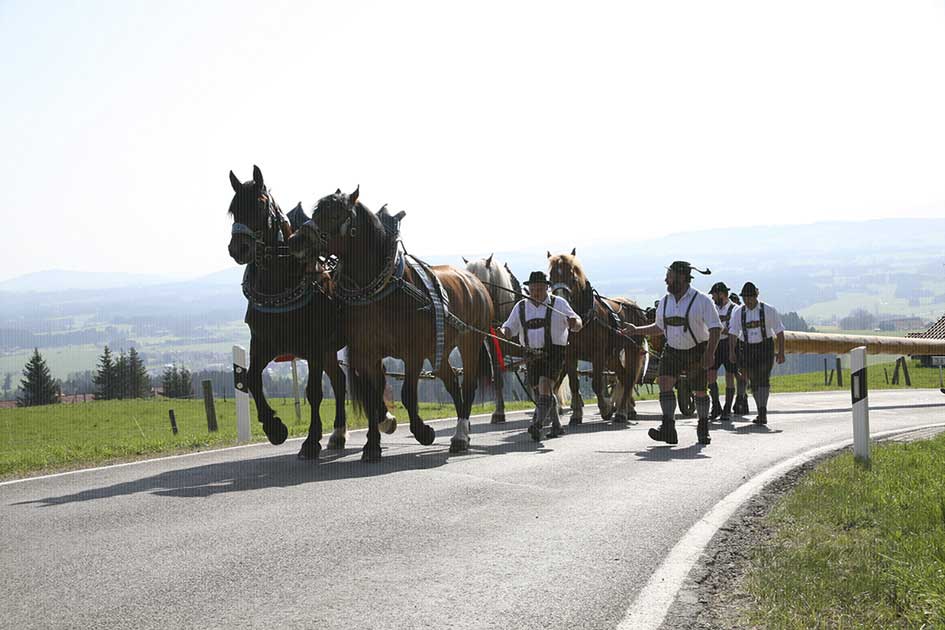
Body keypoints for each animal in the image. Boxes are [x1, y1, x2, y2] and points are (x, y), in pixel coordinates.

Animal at [228, 164, 358, 460]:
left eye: (260, 204)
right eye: (232, 209)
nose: (238, 248)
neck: (279, 283)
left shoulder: (313, 346)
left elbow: (314, 392)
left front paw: (310, 441)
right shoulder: (264, 343)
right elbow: (252, 379)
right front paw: (274, 428)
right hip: (329, 350)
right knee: (340, 380)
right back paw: (338, 434)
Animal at [286, 190, 494, 462]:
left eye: (333, 215)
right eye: (315, 212)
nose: (295, 241)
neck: (382, 291)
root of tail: (475, 282)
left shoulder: (413, 353)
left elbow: (407, 394)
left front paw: (423, 432)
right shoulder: (367, 354)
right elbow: (373, 396)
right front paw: (372, 445)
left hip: (469, 342)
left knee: (468, 385)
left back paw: (460, 435)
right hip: (437, 349)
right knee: (451, 382)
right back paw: (463, 433)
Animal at [544, 249, 648, 422]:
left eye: (572, 277)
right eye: (550, 278)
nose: (560, 302)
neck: (581, 319)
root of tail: (633, 305)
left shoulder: (597, 354)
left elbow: (597, 383)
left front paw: (605, 409)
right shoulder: (570, 355)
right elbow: (574, 384)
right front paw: (576, 415)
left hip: (631, 349)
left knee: (629, 378)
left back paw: (621, 412)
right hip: (611, 356)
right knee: (623, 376)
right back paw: (627, 408)